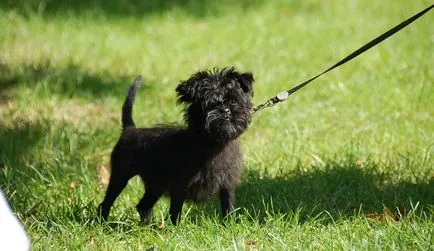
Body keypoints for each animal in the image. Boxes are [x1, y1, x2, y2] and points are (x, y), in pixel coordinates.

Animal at [98, 67, 254, 224]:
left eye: (233, 101)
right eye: (209, 103)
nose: (225, 110)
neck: (213, 143)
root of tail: (130, 129)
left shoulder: (227, 184)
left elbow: (228, 205)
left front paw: (229, 224)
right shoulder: (179, 186)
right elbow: (175, 210)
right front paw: (175, 227)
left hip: (156, 185)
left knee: (143, 205)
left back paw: (146, 225)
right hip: (121, 175)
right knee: (107, 202)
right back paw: (103, 222)